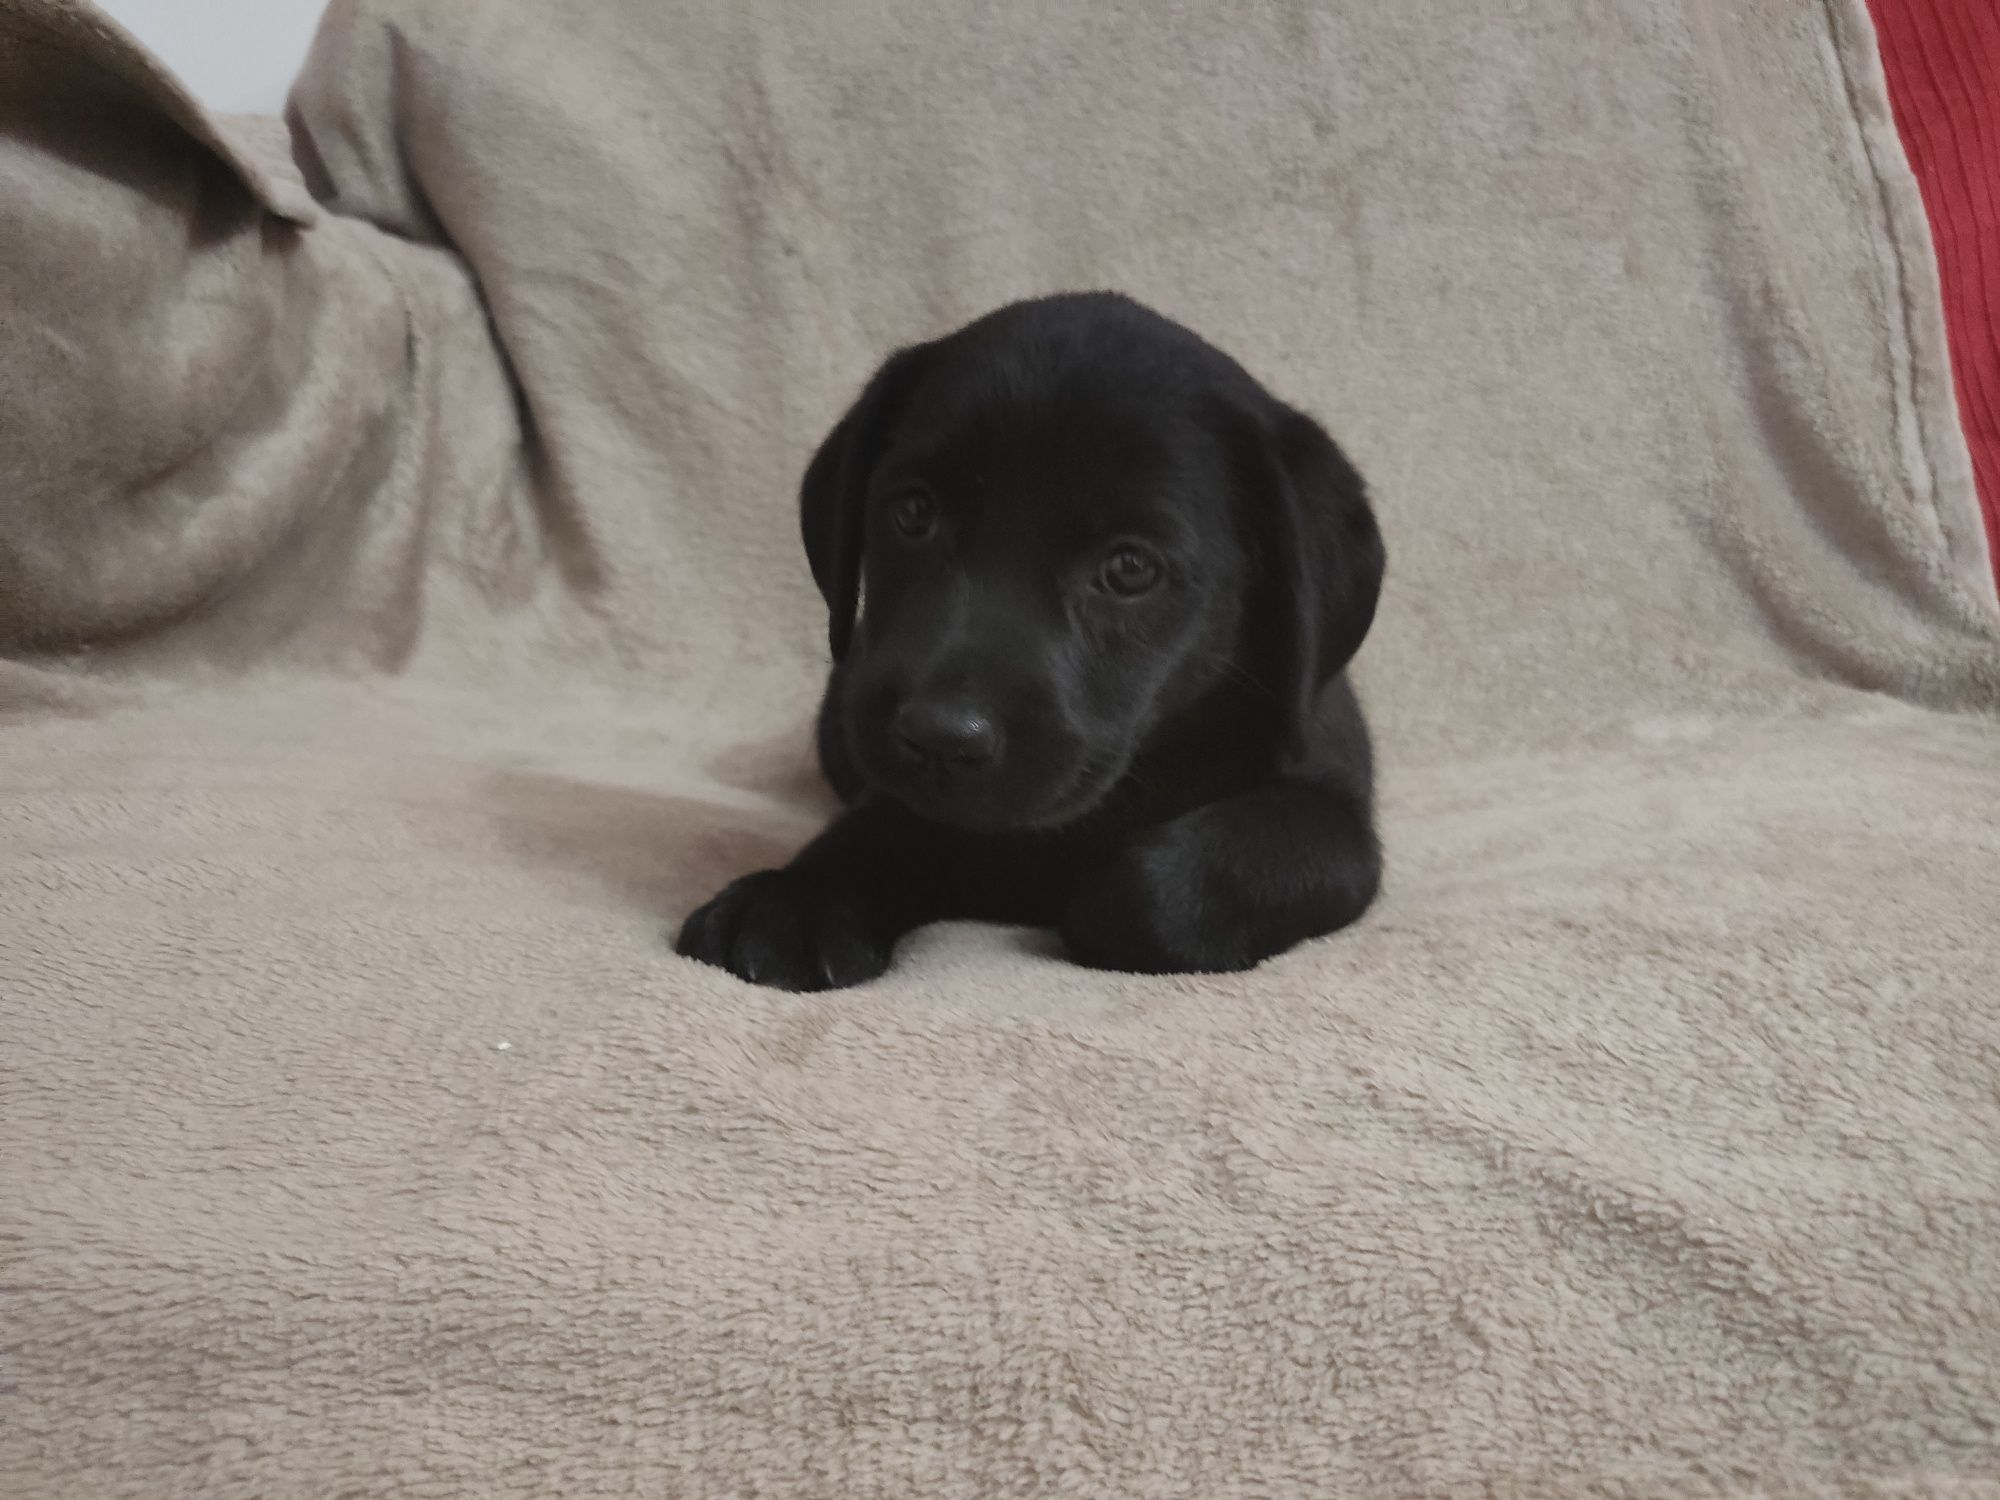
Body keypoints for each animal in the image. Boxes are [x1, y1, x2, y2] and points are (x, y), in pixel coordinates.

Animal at [680, 296, 1384, 1000]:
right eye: (913, 512)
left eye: (1131, 568)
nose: (941, 737)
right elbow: (881, 828)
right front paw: (794, 900)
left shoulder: (1340, 826)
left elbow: (1175, 886)